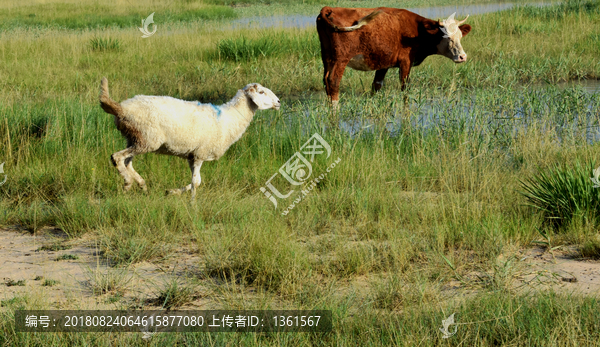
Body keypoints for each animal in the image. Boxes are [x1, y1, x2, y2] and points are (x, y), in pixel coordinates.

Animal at [99, 78, 282, 200]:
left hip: (135, 138)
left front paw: (172, 192)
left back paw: (141, 184)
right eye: (261, 92)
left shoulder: (192, 155)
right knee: (117, 157)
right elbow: (195, 182)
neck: (229, 118)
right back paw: (128, 183)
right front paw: (193, 204)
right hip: (147, 138)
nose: (279, 102)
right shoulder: (200, 153)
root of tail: (121, 109)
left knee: (127, 162)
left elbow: (198, 181)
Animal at [316, 6, 472, 106]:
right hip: (341, 59)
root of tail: (329, 8)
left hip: (327, 57)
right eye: (447, 37)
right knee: (333, 81)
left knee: (325, 81)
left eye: (460, 36)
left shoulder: (383, 63)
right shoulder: (406, 62)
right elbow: (405, 88)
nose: (462, 57)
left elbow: (376, 86)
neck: (418, 31)